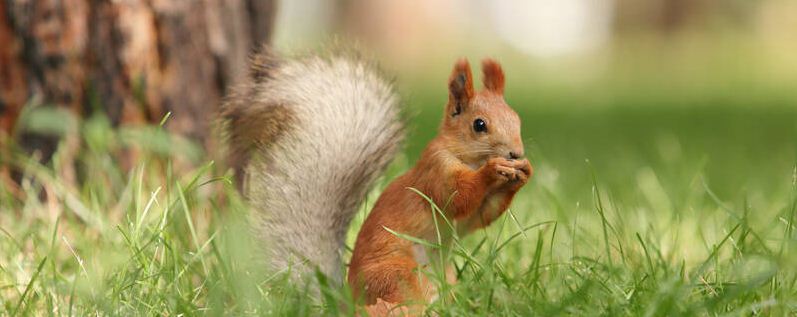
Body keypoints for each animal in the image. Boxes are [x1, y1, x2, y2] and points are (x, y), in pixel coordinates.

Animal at [221, 47, 532, 308]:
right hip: (398, 276)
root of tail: (348, 301)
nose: (516, 153)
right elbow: (458, 197)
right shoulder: (435, 171)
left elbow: (479, 216)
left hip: (443, 276)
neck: (465, 157)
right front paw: (491, 171)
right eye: (479, 125)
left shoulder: (469, 213)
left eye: (517, 119)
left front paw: (522, 174)